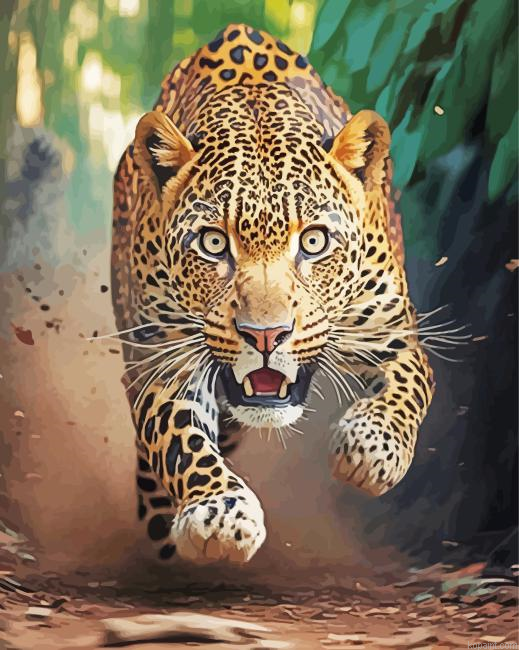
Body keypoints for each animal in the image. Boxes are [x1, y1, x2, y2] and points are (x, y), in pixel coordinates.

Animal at [111, 23, 435, 565]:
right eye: (213, 243)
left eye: (314, 241)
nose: (266, 336)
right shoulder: (163, 355)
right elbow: (179, 436)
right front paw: (218, 511)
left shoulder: (391, 330)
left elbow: (412, 383)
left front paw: (371, 448)